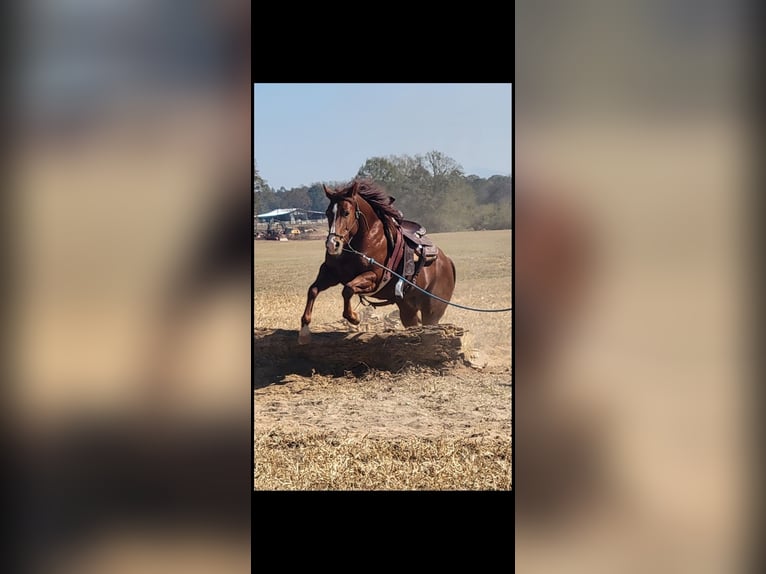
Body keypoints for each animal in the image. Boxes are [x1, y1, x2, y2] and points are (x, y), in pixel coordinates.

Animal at [299, 179, 456, 344]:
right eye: (328, 213)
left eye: (346, 212)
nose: (332, 244)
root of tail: (448, 262)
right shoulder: (331, 273)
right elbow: (313, 290)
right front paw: (304, 331)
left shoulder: (374, 277)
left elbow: (348, 289)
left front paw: (354, 318)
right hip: (408, 308)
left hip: (432, 310)